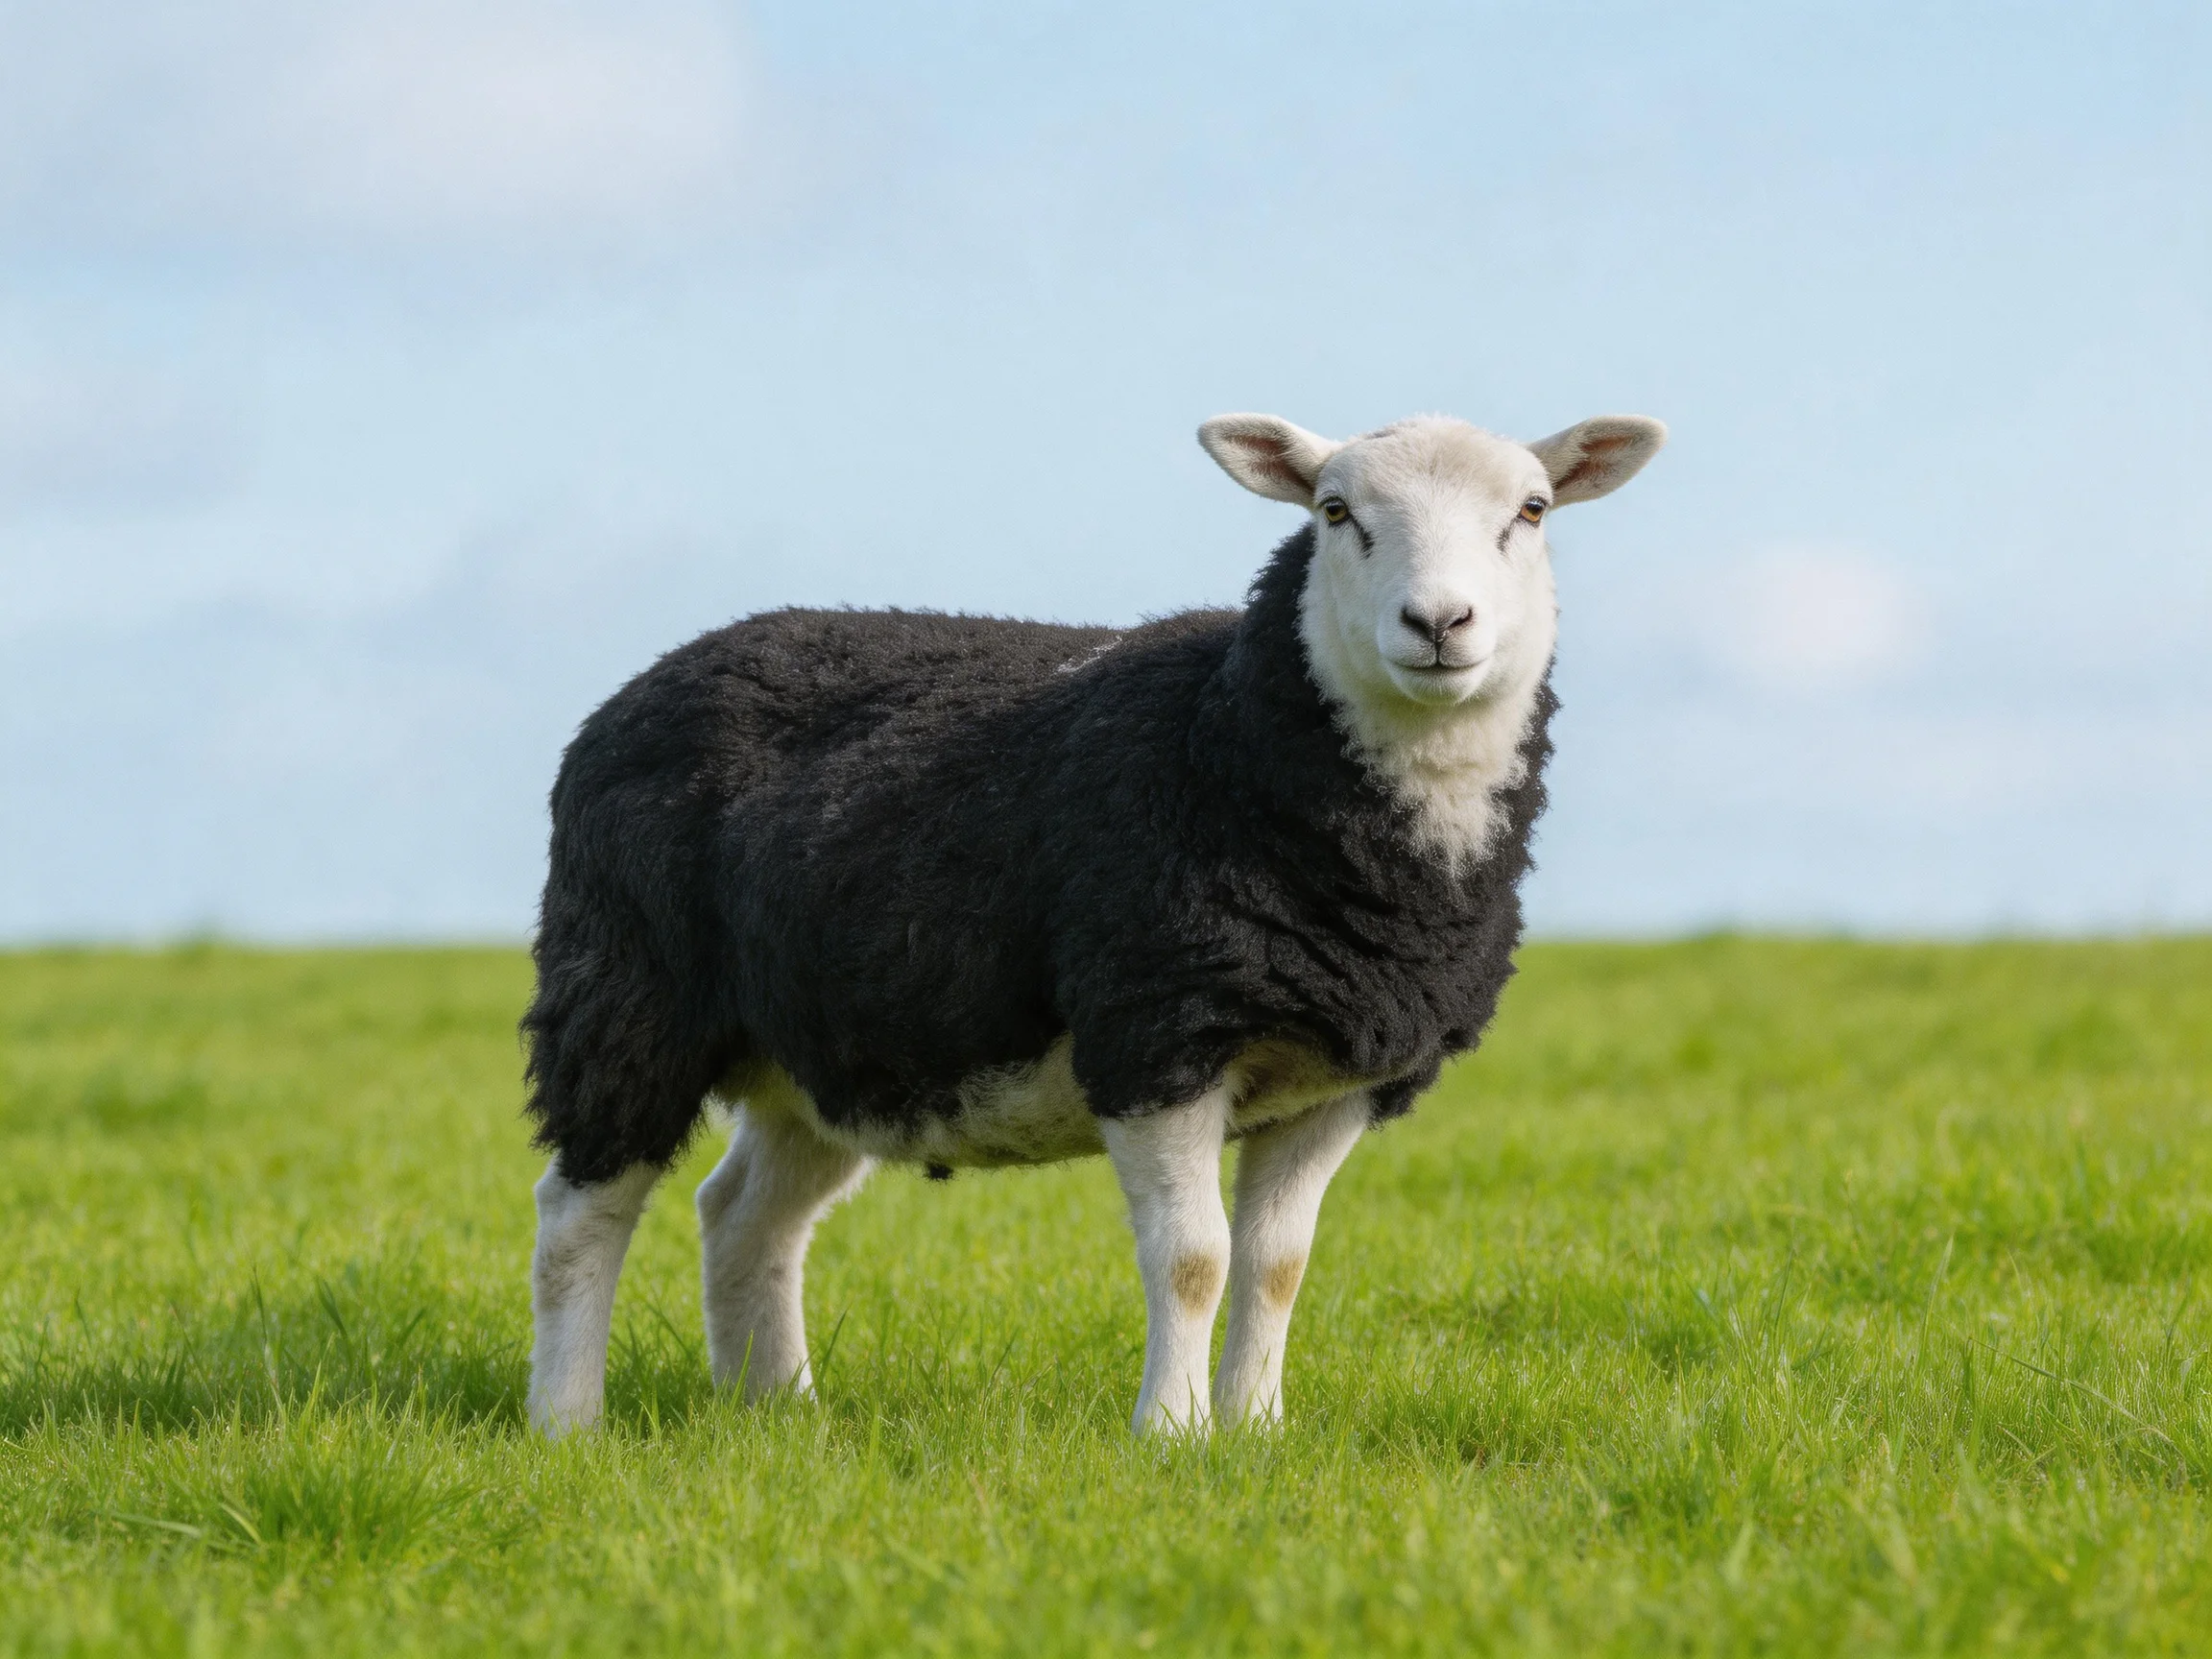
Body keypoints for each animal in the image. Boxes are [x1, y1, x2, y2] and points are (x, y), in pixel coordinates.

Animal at [521, 409, 1666, 1435]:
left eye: (1531, 510)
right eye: (1336, 511)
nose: (1438, 625)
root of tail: (646, 683)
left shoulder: (1342, 1074)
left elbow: (1277, 1265)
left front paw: (1259, 1432)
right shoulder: (1157, 1032)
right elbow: (1195, 1258)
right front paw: (1172, 1434)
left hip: (825, 1048)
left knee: (745, 1216)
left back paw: (777, 1411)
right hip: (626, 989)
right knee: (582, 1214)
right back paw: (568, 1422)